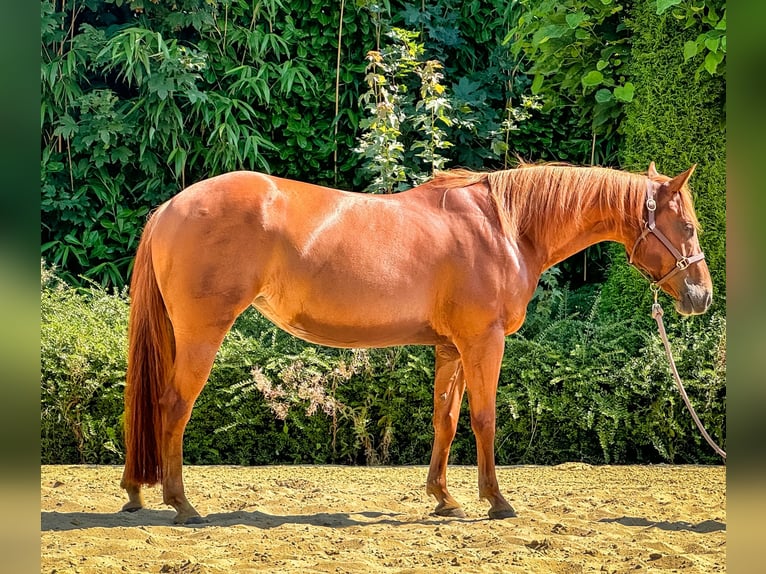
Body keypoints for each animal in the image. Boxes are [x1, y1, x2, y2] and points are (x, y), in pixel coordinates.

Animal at [120, 162, 712, 528]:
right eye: (685, 226)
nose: (701, 295)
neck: (504, 228)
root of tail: (169, 208)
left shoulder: (451, 348)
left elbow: (445, 420)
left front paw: (444, 499)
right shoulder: (483, 342)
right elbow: (484, 418)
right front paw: (496, 500)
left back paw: (136, 493)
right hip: (201, 334)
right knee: (172, 407)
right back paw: (182, 505)